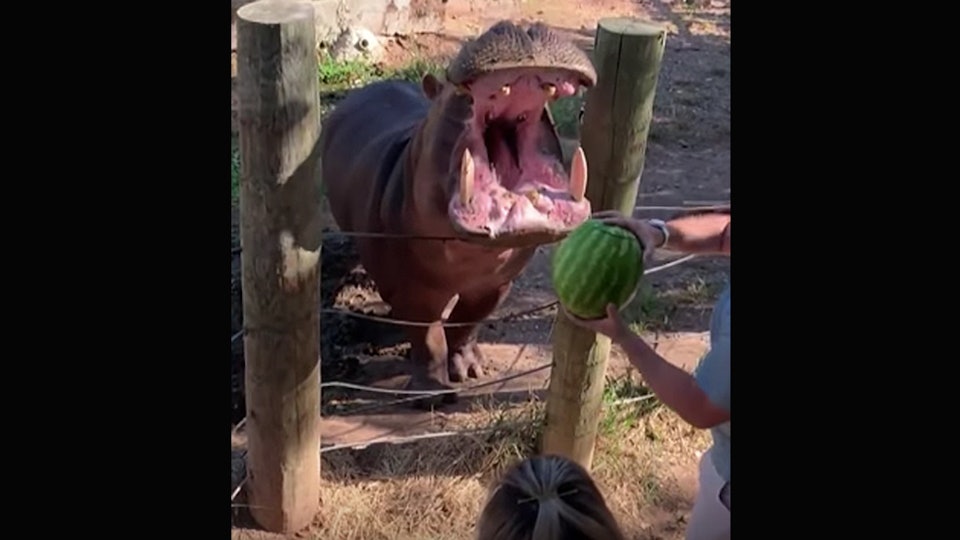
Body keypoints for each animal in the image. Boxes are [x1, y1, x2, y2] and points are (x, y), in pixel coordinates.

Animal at [320, 21, 597, 405]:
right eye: (448, 92)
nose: (521, 25)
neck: (471, 256)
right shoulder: (410, 290)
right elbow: (428, 337)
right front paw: (432, 394)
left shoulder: (497, 283)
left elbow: (467, 321)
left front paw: (469, 369)